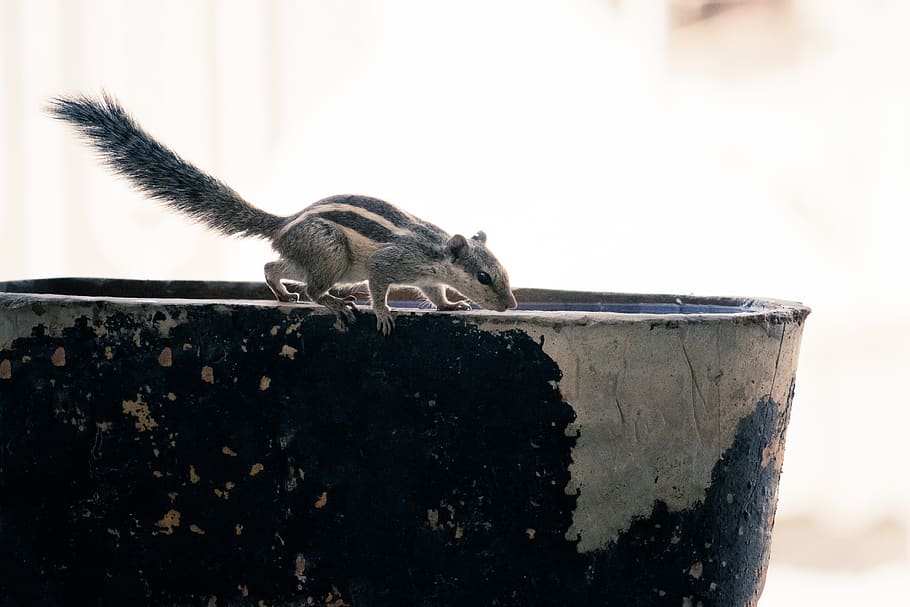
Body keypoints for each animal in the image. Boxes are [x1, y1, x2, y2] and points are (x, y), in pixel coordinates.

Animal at [48, 93, 517, 334]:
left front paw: (453, 304)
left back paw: (285, 293)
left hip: (324, 260)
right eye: (484, 277)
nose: (510, 305)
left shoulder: (427, 276)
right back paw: (334, 304)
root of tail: (283, 223)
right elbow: (381, 285)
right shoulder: (390, 263)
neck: (433, 251)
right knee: (311, 287)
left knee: (273, 266)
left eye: (503, 273)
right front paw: (384, 314)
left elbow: (435, 295)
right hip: (332, 253)